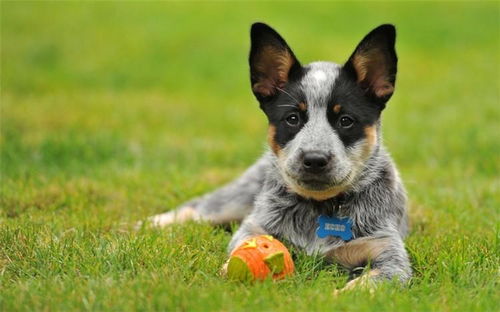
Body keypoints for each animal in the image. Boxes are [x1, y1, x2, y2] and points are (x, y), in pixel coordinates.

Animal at [147, 23, 410, 288]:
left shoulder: (388, 252)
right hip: (237, 199)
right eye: (292, 118)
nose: (314, 159)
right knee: (196, 208)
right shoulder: (254, 226)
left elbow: (371, 282)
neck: (319, 209)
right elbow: (237, 253)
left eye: (346, 120)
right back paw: (149, 224)